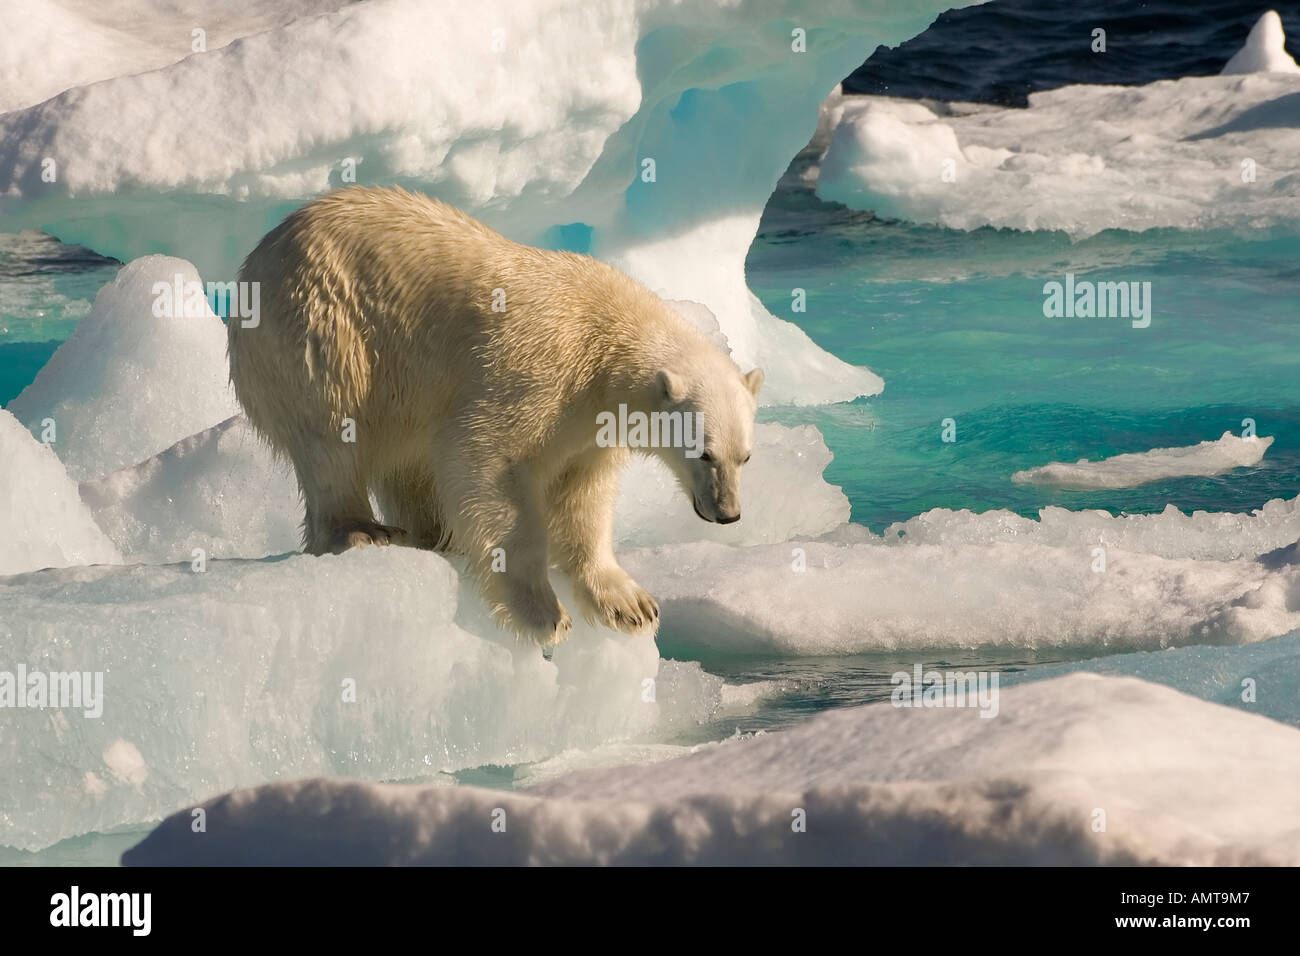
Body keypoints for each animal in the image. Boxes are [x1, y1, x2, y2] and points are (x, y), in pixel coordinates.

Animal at [228, 184, 759, 642]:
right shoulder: (536, 373)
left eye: (745, 457)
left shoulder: (590, 428)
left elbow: (583, 497)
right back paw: (362, 530)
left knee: (408, 465)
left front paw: (630, 604)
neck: (604, 337)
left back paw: (435, 535)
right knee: (333, 435)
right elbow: (485, 461)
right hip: (323, 329)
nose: (728, 513)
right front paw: (543, 614)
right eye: (704, 452)